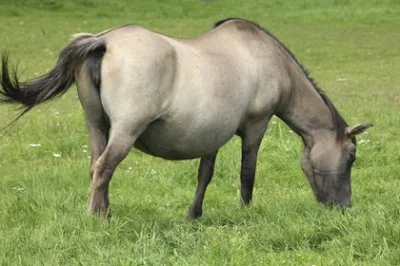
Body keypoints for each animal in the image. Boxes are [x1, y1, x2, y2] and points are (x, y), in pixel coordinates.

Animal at [0, 17, 370, 219]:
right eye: (351, 156)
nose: (344, 206)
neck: (267, 59)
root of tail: (103, 42)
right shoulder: (256, 125)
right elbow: (247, 173)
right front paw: (246, 211)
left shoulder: (212, 133)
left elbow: (204, 175)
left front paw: (194, 214)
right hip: (125, 130)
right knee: (105, 167)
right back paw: (97, 217)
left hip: (97, 125)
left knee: (96, 167)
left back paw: (106, 211)